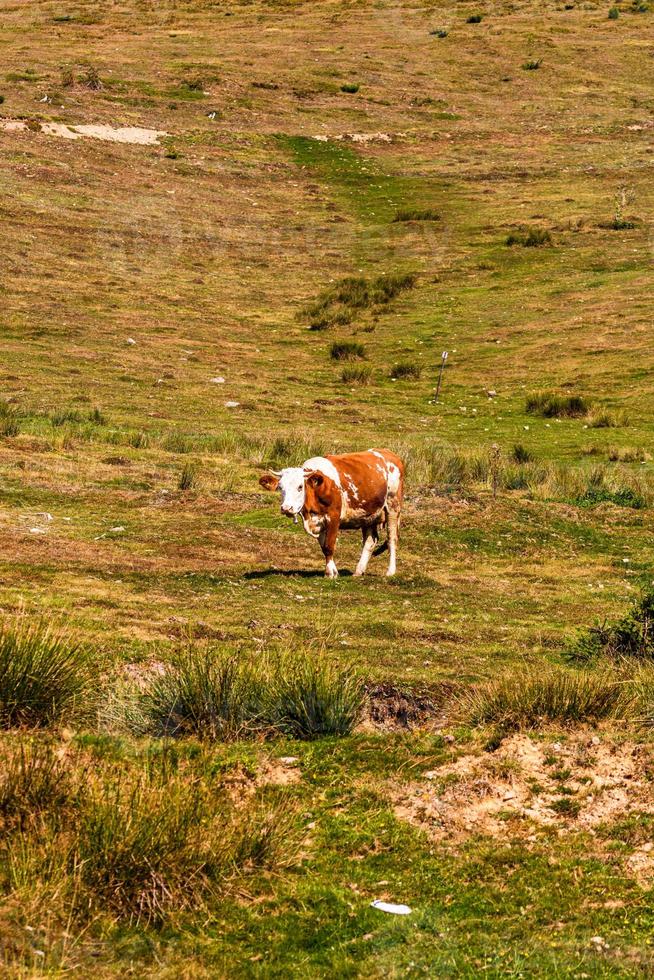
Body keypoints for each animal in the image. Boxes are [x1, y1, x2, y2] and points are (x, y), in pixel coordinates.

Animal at [258, 450, 402, 580]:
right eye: (280, 487)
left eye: (300, 487)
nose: (286, 508)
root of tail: (388, 453)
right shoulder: (318, 522)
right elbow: (323, 547)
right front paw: (332, 570)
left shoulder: (333, 517)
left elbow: (329, 545)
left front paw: (330, 573)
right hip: (368, 514)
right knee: (370, 541)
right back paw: (359, 571)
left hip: (393, 506)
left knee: (392, 538)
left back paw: (390, 571)